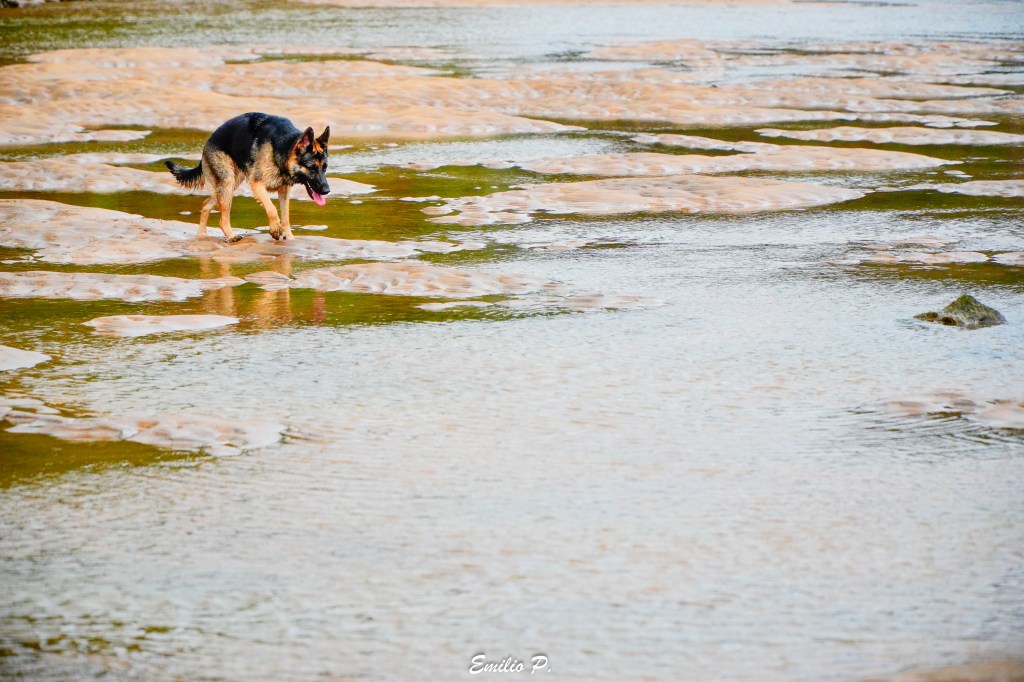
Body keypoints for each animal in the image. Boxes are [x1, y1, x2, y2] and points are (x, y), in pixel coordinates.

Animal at [166, 112, 330, 242]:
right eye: (311, 168)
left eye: (325, 168)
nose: (327, 190)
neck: (282, 146)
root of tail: (209, 140)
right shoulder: (257, 184)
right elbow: (271, 208)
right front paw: (275, 229)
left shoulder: (284, 191)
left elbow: (286, 217)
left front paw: (289, 237)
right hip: (227, 183)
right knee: (222, 219)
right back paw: (231, 236)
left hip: (229, 185)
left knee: (206, 204)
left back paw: (202, 236)